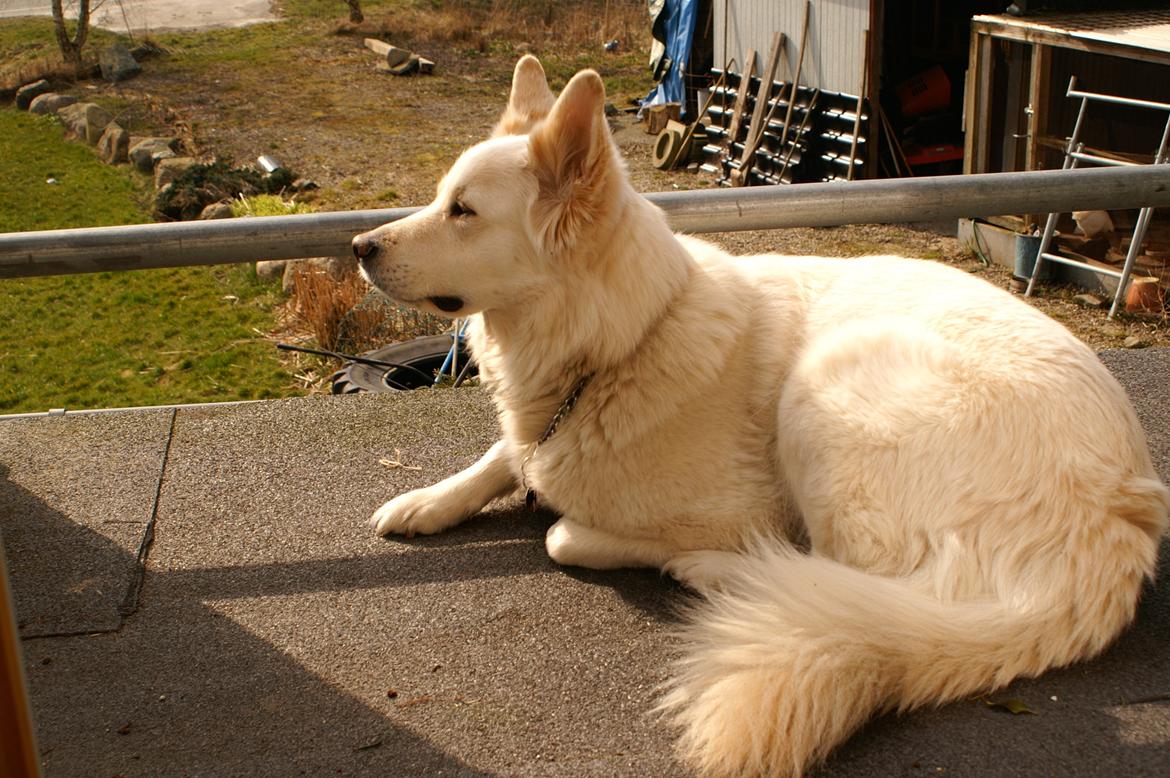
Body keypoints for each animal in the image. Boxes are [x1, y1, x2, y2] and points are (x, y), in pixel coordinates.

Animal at [348, 57, 1170, 772]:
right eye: (439, 197)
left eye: (463, 211)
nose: (357, 244)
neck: (624, 342)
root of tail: (1114, 521)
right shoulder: (532, 433)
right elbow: (502, 455)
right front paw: (427, 501)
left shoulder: (727, 504)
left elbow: (563, 535)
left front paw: (592, 525)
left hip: (828, 381)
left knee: (839, 580)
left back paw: (723, 573)